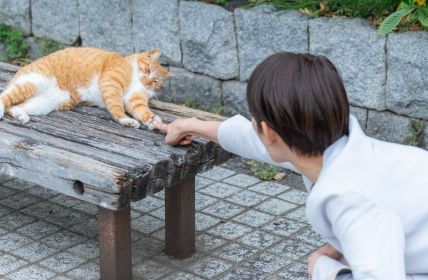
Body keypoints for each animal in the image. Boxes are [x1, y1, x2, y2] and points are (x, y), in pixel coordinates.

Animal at [0, 46, 174, 128]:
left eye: (155, 81)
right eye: (147, 70)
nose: (147, 82)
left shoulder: (135, 99)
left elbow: (142, 111)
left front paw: (152, 121)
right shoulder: (111, 83)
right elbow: (116, 106)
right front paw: (125, 119)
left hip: (46, 103)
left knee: (14, 107)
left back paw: (21, 116)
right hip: (32, 82)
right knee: (4, 98)